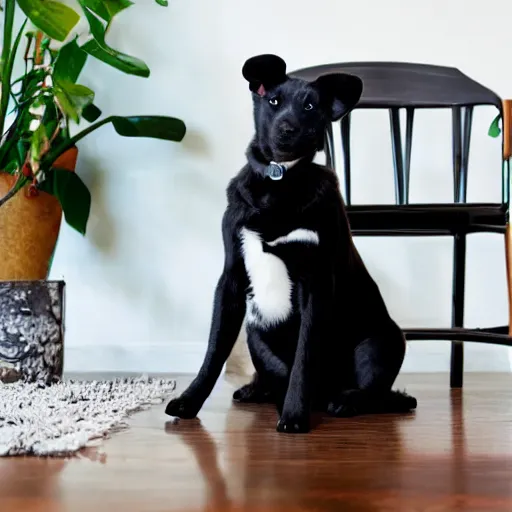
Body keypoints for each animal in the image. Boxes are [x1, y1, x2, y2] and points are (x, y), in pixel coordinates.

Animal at [166, 55, 418, 432]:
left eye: (310, 107)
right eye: (273, 101)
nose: (288, 129)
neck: (278, 179)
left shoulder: (316, 284)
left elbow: (304, 358)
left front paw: (295, 415)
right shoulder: (231, 279)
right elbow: (213, 351)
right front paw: (189, 401)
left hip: (382, 341)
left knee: (375, 392)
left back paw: (345, 400)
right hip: (256, 333)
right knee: (274, 374)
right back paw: (261, 391)